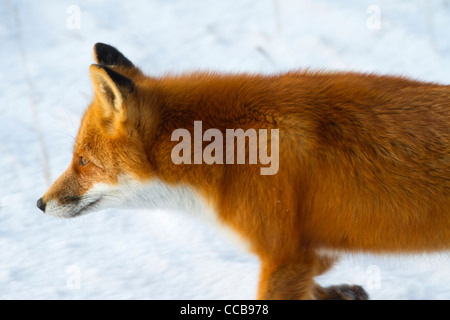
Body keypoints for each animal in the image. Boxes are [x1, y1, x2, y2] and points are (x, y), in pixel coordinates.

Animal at [37, 43, 448, 300]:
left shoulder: (284, 254)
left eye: (83, 161)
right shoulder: (307, 251)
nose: (40, 203)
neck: (224, 156)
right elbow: (317, 279)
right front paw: (341, 294)